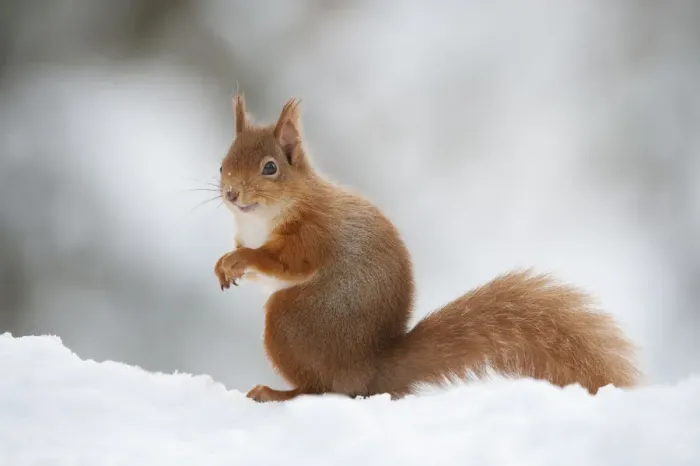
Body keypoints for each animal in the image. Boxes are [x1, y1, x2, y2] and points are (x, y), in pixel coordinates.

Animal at [214, 94, 641, 403]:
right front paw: (225, 265)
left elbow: (285, 262)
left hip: (290, 322)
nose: (231, 194)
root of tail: (367, 371)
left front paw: (242, 259)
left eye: (270, 168)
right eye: (222, 165)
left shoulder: (314, 234)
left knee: (319, 388)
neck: (263, 217)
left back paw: (276, 393)